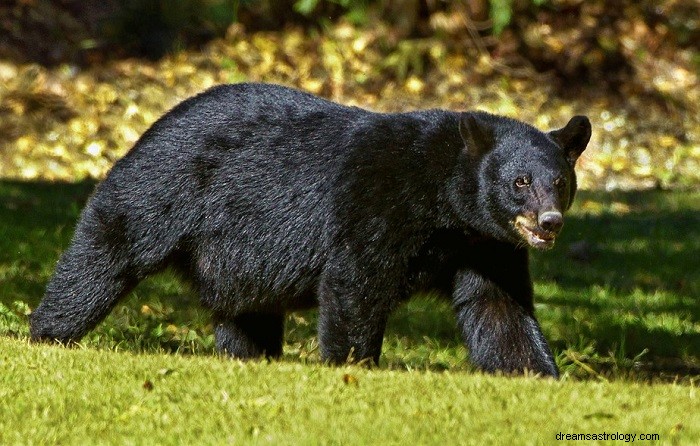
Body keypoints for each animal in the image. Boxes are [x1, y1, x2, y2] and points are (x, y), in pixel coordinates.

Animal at [31, 83, 592, 376]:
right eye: (520, 182)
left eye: (560, 182)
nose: (549, 222)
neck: (443, 202)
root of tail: (153, 123)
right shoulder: (378, 202)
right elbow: (355, 283)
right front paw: (353, 367)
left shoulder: (484, 243)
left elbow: (498, 306)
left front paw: (535, 373)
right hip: (164, 187)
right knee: (107, 250)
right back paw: (48, 333)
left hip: (236, 258)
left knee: (246, 312)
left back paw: (250, 357)